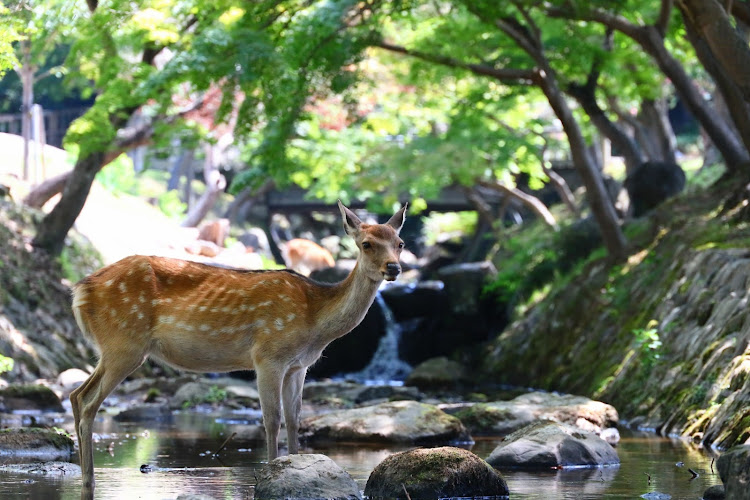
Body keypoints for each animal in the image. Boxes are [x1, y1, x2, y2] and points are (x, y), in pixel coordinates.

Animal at [70, 201, 408, 490]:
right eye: (366, 244)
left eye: (400, 243)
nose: (393, 268)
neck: (315, 322)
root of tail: (79, 290)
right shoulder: (268, 355)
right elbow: (272, 419)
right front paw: (272, 472)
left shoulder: (299, 366)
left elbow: (295, 418)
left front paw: (297, 466)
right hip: (124, 342)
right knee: (87, 401)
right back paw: (89, 480)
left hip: (112, 348)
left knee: (75, 395)